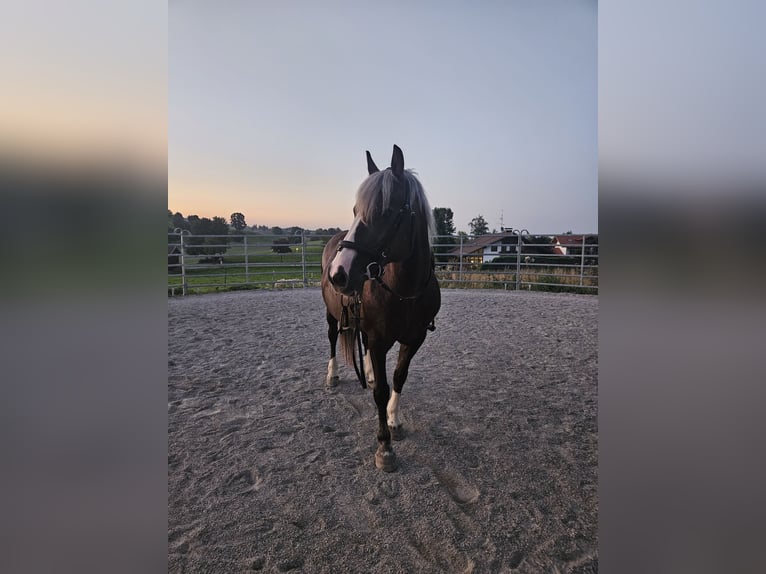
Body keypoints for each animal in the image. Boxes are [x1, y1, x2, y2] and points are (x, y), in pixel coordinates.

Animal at [321, 145, 441, 472]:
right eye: (355, 211)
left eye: (385, 212)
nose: (338, 273)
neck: (404, 292)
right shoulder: (377, 339)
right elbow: (380, 391)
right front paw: (384, 447)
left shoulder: (414, 339)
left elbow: (398, 377)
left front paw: (394, 420)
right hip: (332, 317)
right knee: (333, 340)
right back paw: (332, 376)